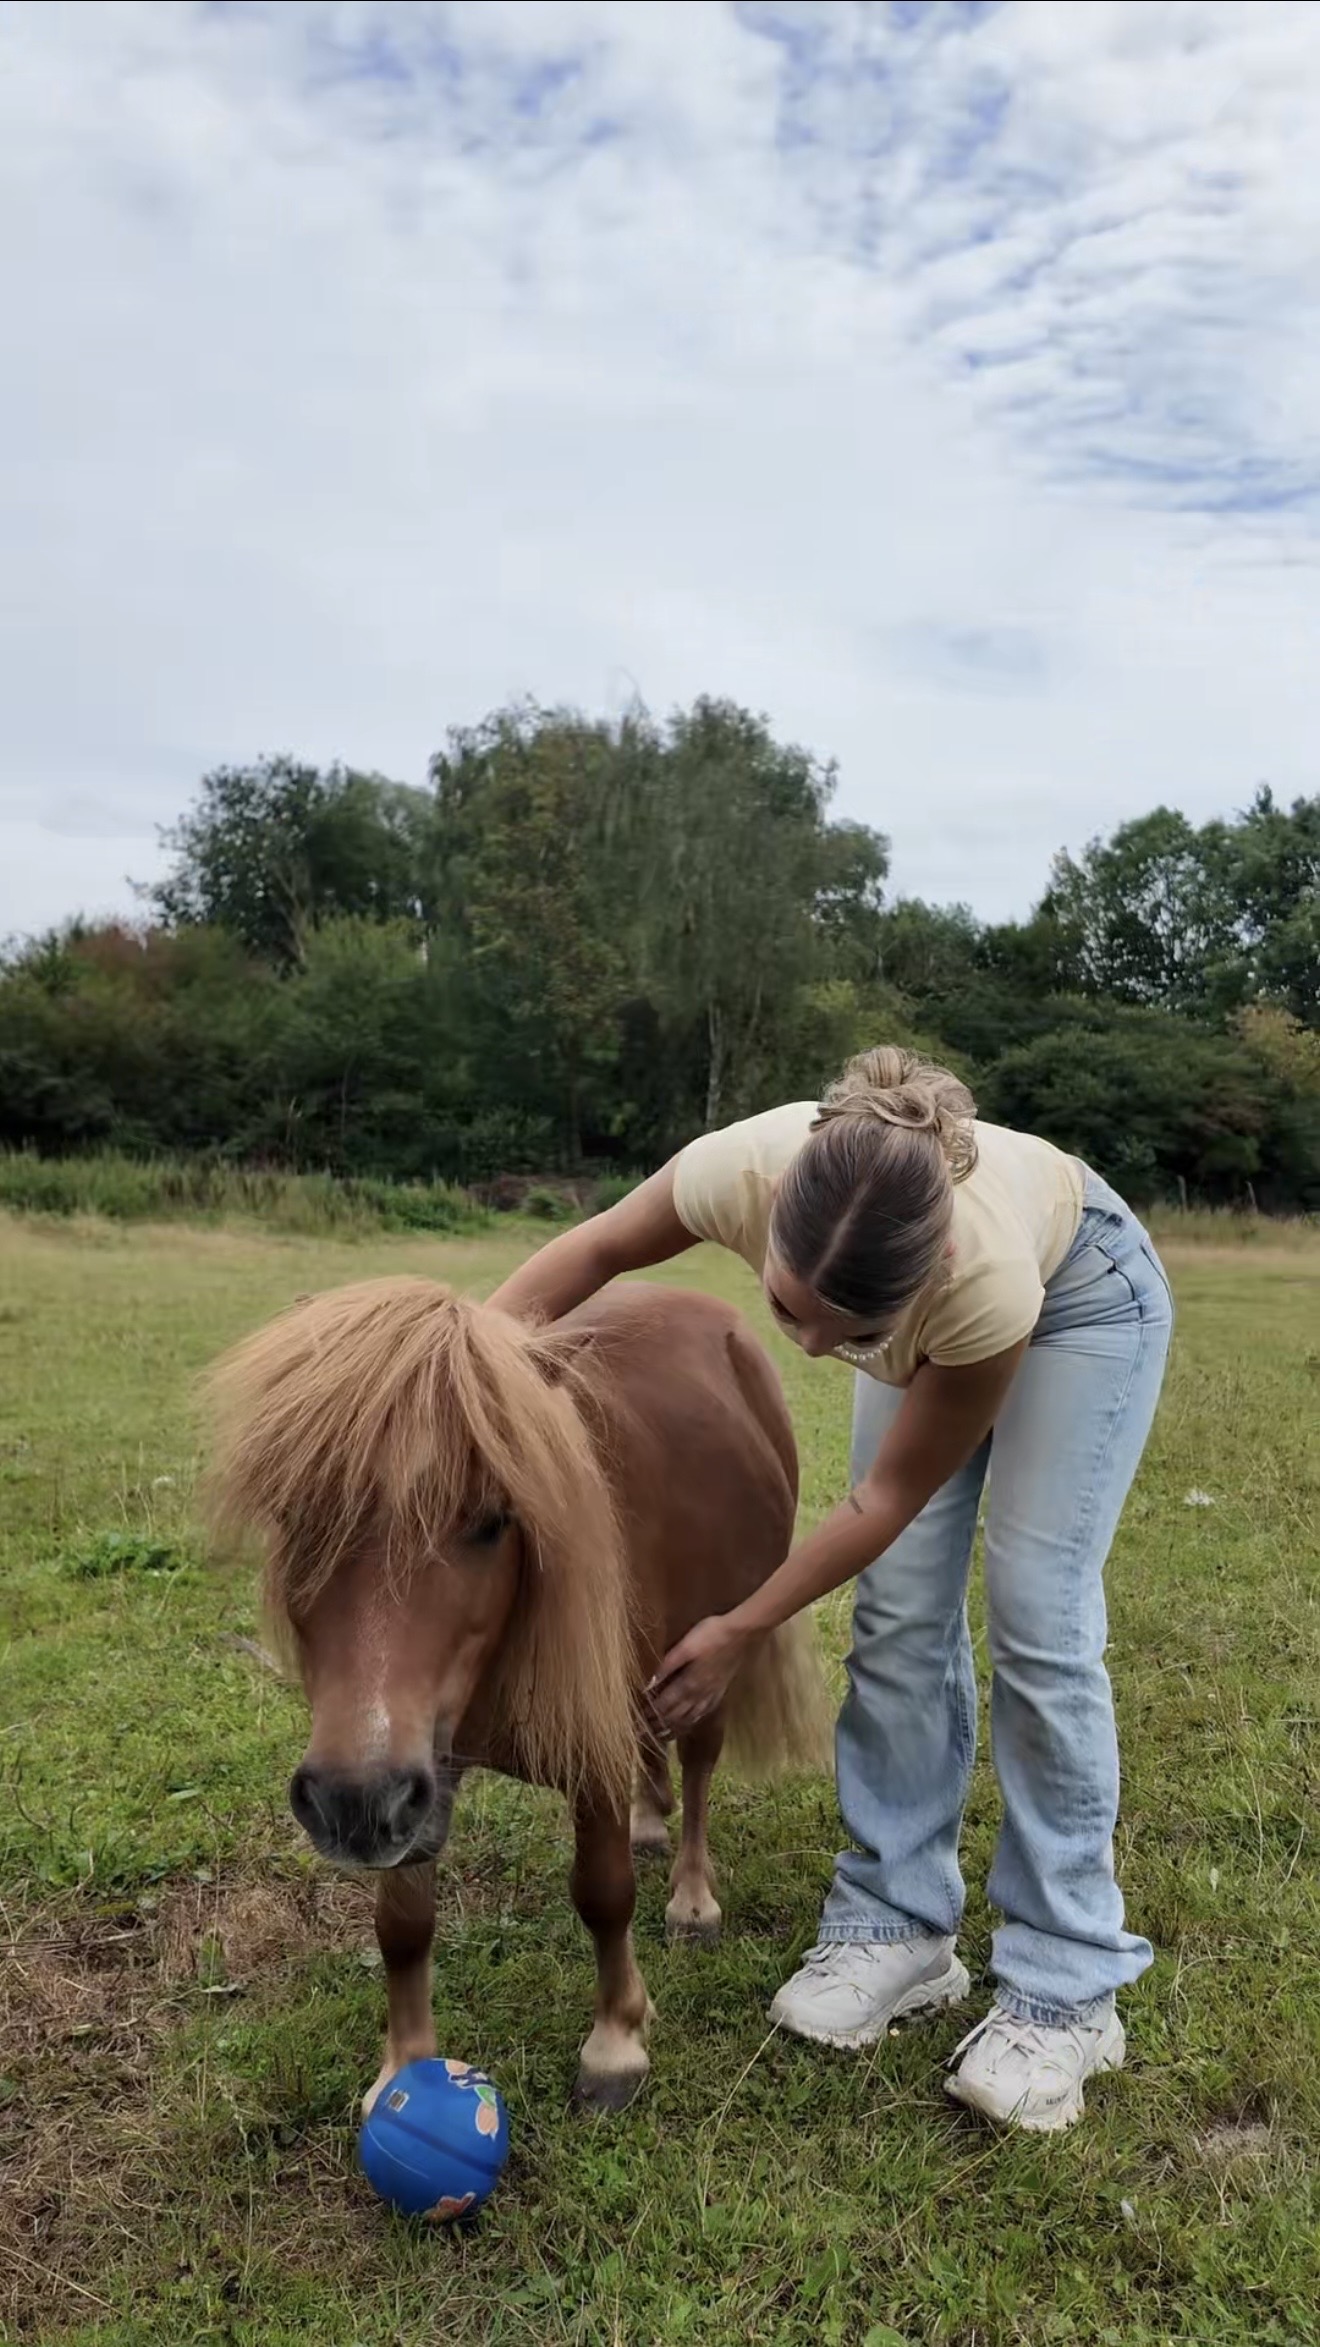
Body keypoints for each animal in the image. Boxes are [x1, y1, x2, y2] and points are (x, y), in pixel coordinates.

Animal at [203, 1275, 828, 2114]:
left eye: (495, 1519)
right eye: (295, 1514)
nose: (348, 1801)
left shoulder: (570, 1743)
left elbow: (602, 1893)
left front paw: (616, 2042)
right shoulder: (416, 1773)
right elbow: (402, 1922)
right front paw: (404, 2066)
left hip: (713, 1655)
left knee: (697, 1768)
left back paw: (692, 1897)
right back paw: (650, 1819)